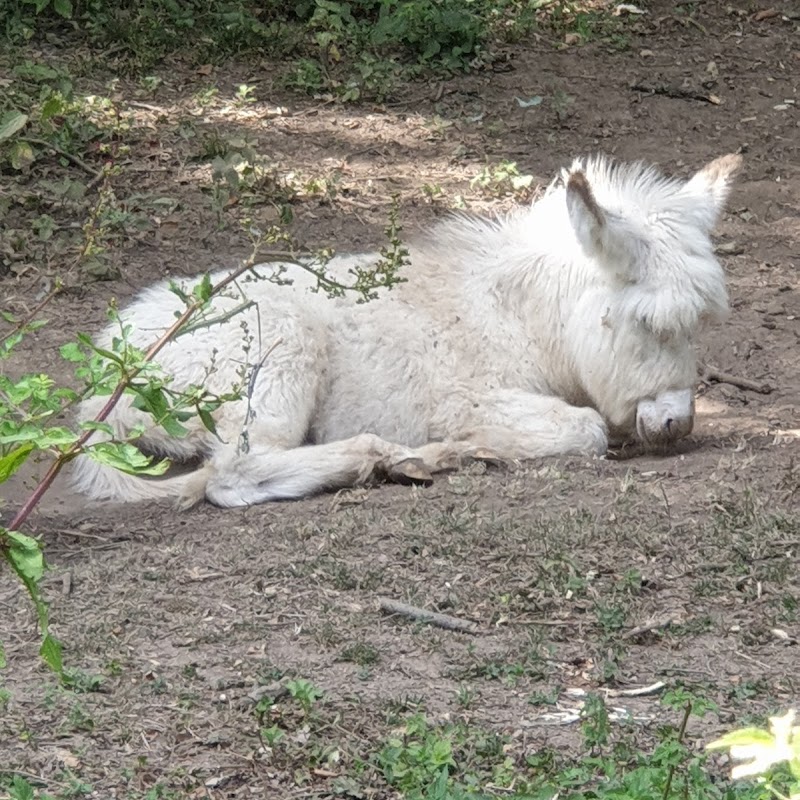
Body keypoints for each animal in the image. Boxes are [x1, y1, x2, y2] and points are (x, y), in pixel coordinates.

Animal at [72, 152, 740, 506]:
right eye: (648, 322)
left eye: (700, 323)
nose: (678, 424)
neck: (522, 316)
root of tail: (104, 378)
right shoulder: (464, 395)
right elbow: (588, 430)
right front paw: (472, 444)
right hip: (281, 352)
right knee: (235, 473)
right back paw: (389, 458)